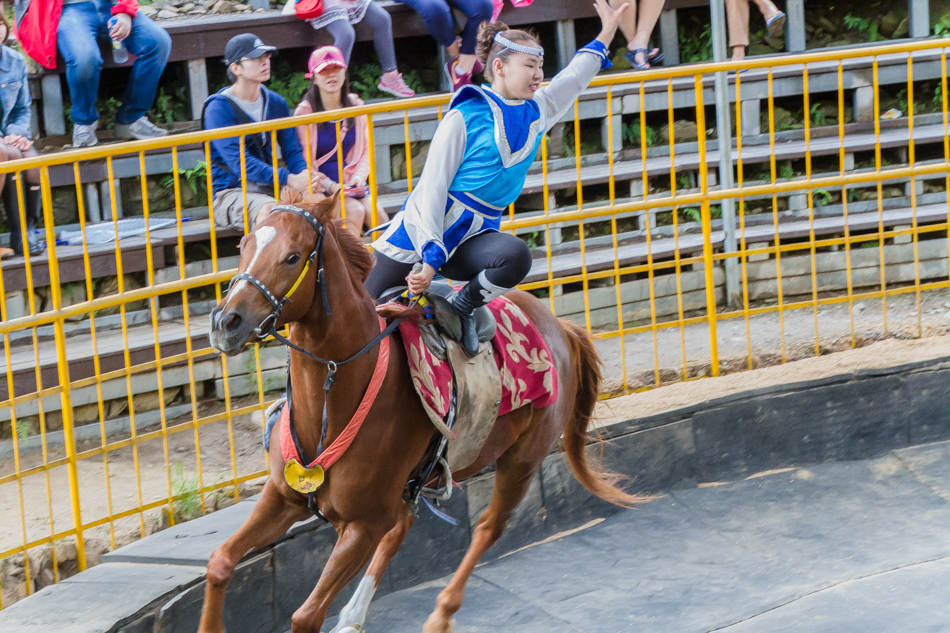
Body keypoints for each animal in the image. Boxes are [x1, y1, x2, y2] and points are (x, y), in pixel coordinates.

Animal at [203, 189, 648, 632]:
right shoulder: (283, 497)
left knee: (487, 527)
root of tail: (561, 327)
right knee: (405, 526)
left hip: (522, 461)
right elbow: (220, 562)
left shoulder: (363, 525)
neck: (335, 401)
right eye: (243, 246)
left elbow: (306, 615)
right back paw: (353, 616)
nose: (226, 321)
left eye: (293, 256)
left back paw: (441, 613)